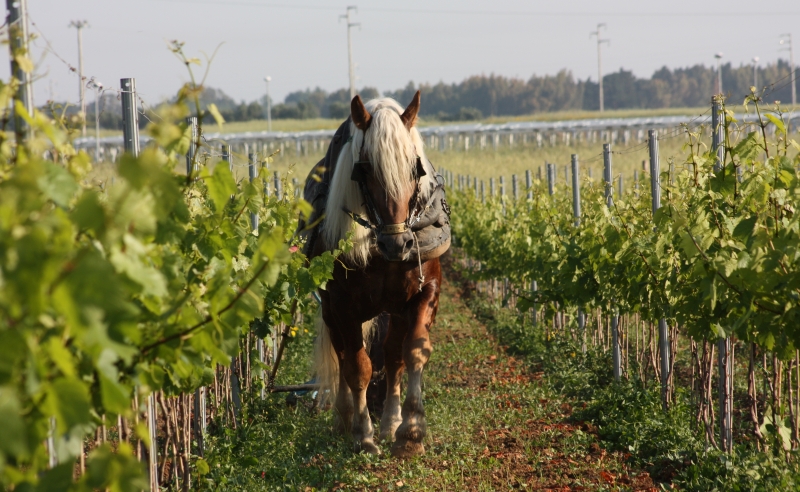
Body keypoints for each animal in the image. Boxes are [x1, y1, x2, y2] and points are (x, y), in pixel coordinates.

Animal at [303, 92, 448, 457]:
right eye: (365, 170)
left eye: (415, 167)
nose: (398, 243)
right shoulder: (343, 307)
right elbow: (358, 367)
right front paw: (363, 435)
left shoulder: (425, 290)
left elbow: (414, 352)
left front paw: (410, 431)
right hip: (331, 310)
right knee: (342, 355)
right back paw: (345, 418)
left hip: (394, 308)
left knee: (393, 355)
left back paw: (391, 421)